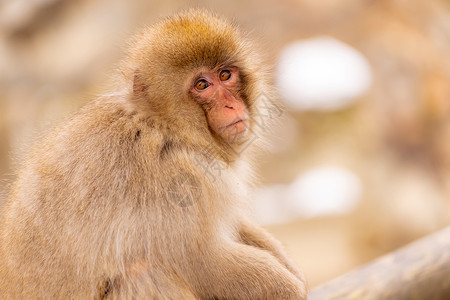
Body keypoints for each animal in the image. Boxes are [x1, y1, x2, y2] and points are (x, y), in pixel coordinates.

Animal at [0, 9, 306, 300]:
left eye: (225, 75)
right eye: (202, 85)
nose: (232, 106)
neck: (164, 126)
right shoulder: (175, 178)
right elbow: (200, 260)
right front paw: (290, 290)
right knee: (144, 275)